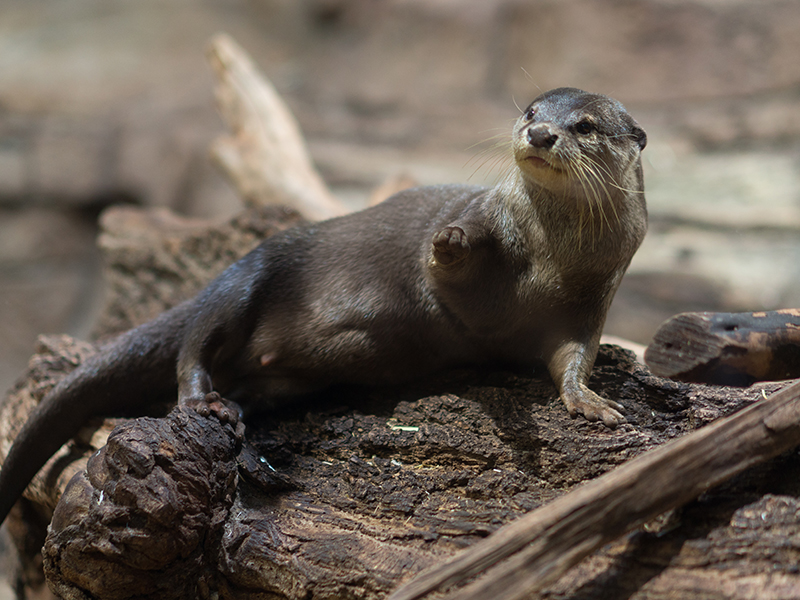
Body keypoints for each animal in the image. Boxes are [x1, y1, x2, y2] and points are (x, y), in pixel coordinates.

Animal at [0, 87, 647, 526]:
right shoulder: (484, 228)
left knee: (258, 387)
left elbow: (572, 358)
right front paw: (448, 242)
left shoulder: (590, 302)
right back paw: (202, 401)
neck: (549, 259)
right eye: (532, 111)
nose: (541, 135)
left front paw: (591, 402)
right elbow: (447, 271)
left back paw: (244, 427)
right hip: (248, 276)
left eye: (584, 124)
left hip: (296, 374)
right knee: (193, 343)